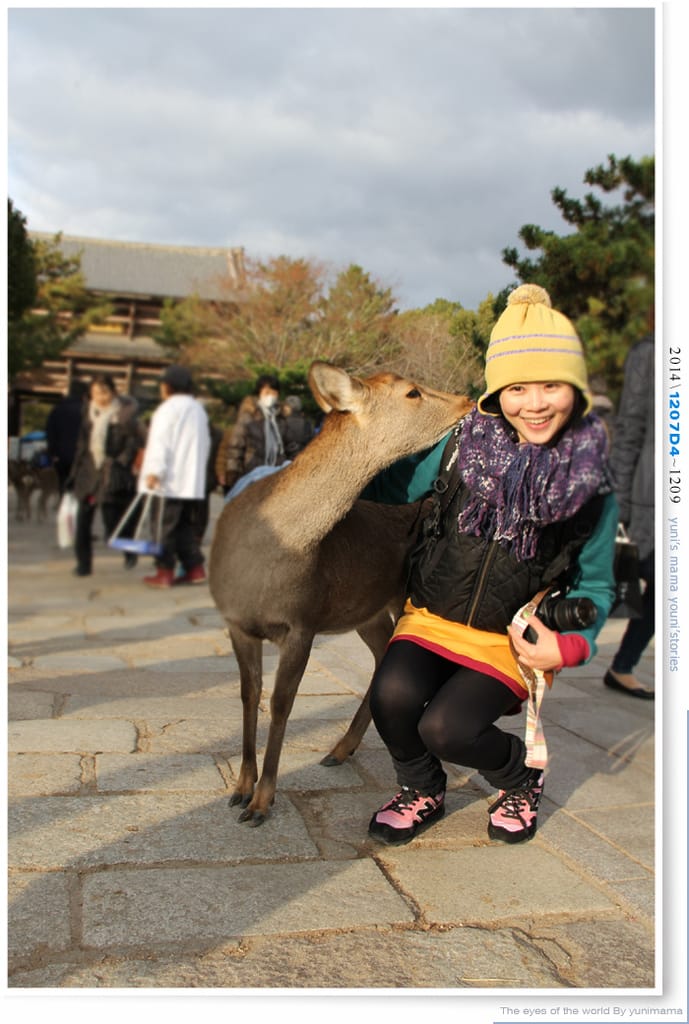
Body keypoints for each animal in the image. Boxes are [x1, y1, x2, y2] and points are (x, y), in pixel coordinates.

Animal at [208, 361, 473, 826]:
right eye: (412, 392)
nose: (467, 400)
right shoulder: (236, 623)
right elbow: (249, 695)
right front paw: (240, 788)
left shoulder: (304, 621)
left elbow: (281, 702)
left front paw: (262, 801)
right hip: (369, 610)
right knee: (382, 655)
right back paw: (340, 749)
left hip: (406, 598)